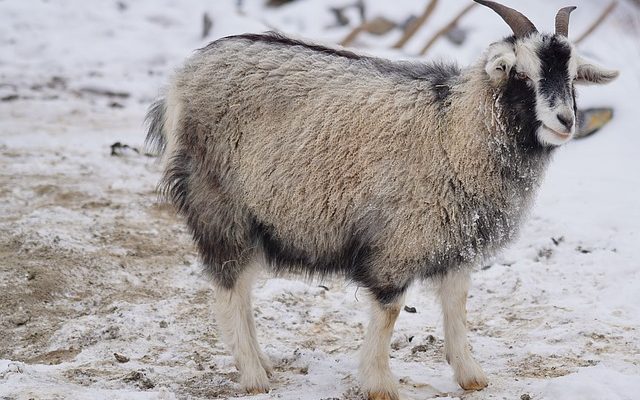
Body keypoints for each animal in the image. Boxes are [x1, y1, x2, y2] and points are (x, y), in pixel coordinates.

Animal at [146, 1, 620, 398]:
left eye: (572, 76)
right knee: (229, 288)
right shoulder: (398, 240)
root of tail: (180, 80)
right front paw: (379, 384)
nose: (565, 121)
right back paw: (253, 376)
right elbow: (390, 311)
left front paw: (471, 376)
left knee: (240, 289)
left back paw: (262, 364)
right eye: (521, 74)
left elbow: (457, 306)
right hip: (221, 207)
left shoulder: (456, 241)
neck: (454, 129)